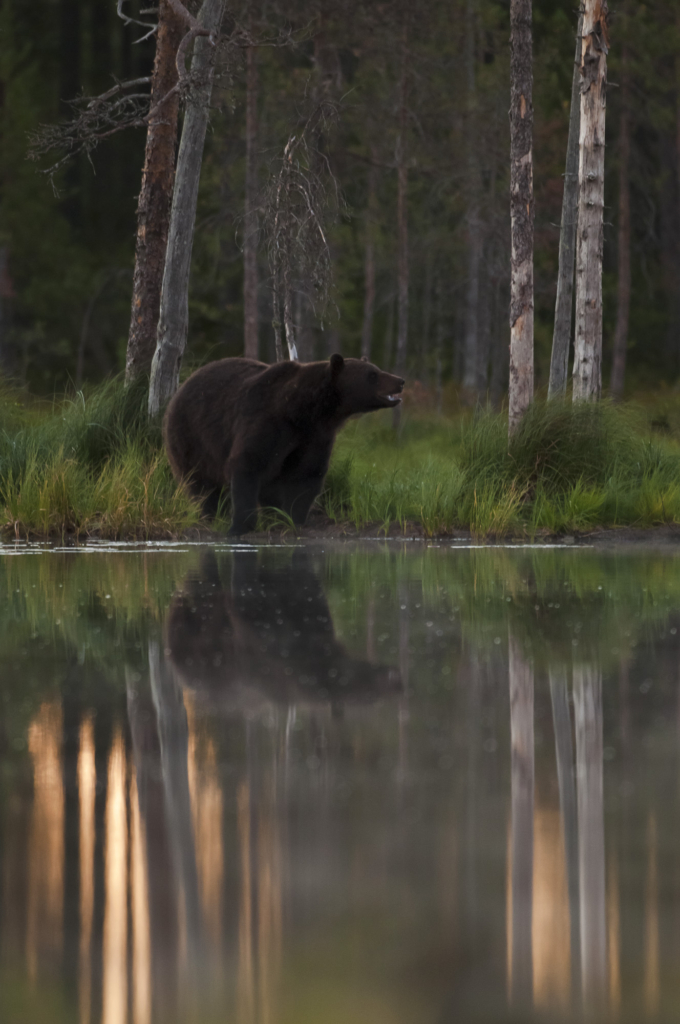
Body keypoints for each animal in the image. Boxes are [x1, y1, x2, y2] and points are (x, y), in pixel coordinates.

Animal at [163, 354, 403, 536]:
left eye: (376, 369)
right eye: (372, 375)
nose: (400, 380)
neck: (305, 411)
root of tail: (180, 388)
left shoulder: (315, 437)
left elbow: (306, 474)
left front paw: (294, 518)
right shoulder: (267, 421)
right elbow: (247, 463)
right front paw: (240, 525)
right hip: (190, 437)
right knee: (200, 483)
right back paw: (212, 514)